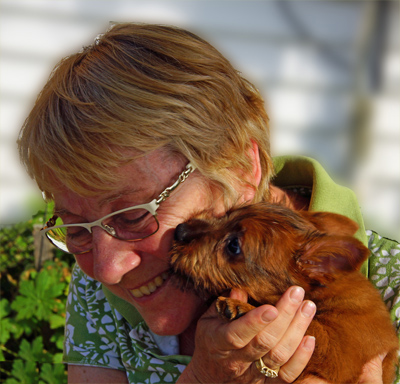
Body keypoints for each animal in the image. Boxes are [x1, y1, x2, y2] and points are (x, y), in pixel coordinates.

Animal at [170, 202, 400, 382]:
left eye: (234, 245)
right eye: (227, 213)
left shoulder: (338, 355)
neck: (323, 295)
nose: (179, 231)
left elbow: (310, 328)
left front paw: (242, 306)